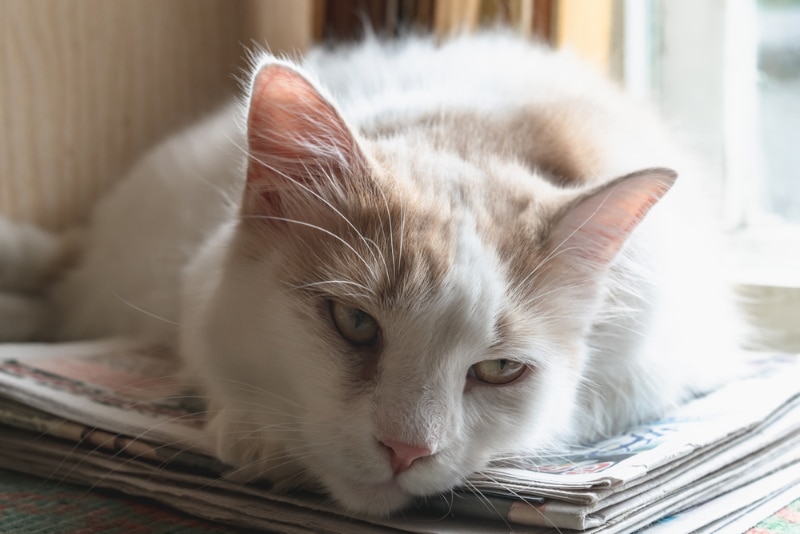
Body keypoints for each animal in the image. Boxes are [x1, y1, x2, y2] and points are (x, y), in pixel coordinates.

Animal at [0, 33, 736, 520]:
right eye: (354, 324)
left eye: (500, 371)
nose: (407, 449)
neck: (464, 133)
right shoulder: (197, 278)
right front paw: (261, 435)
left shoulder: (658, 364)